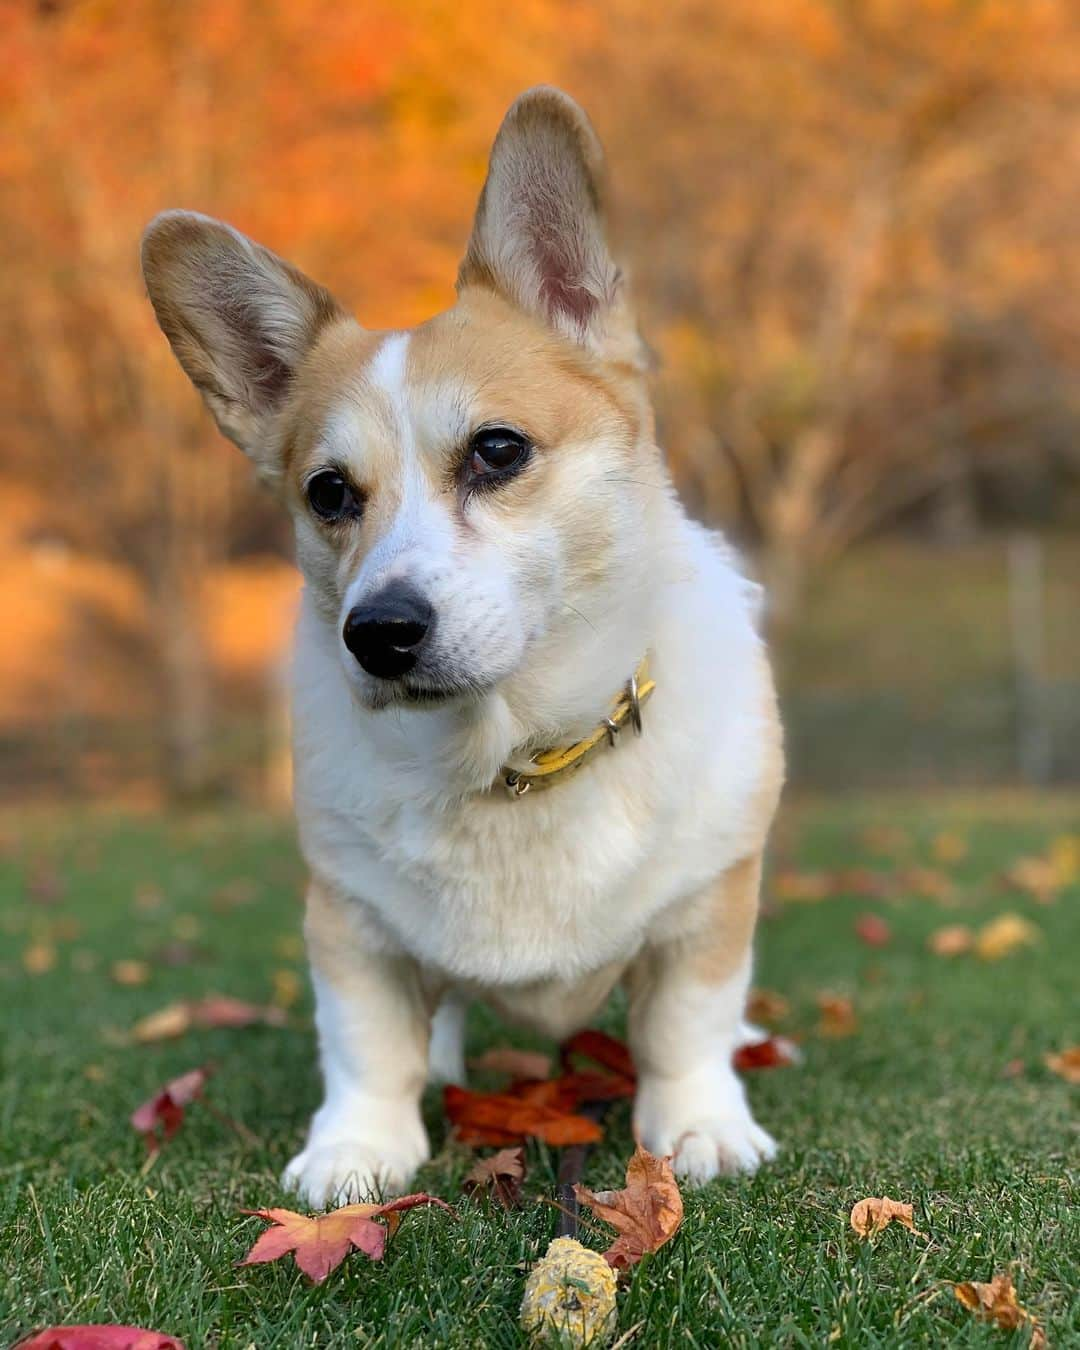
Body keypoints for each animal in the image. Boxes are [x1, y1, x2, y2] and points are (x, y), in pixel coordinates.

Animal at [143, 87, 783, 1204]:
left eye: (497, 450)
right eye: (329, 493)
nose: (378, 634)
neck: (513, 757)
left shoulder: (707, 901)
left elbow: (683, 1024)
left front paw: (702, 1125)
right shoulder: (347, 919)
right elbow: (367, 1043)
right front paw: (356, 1148)